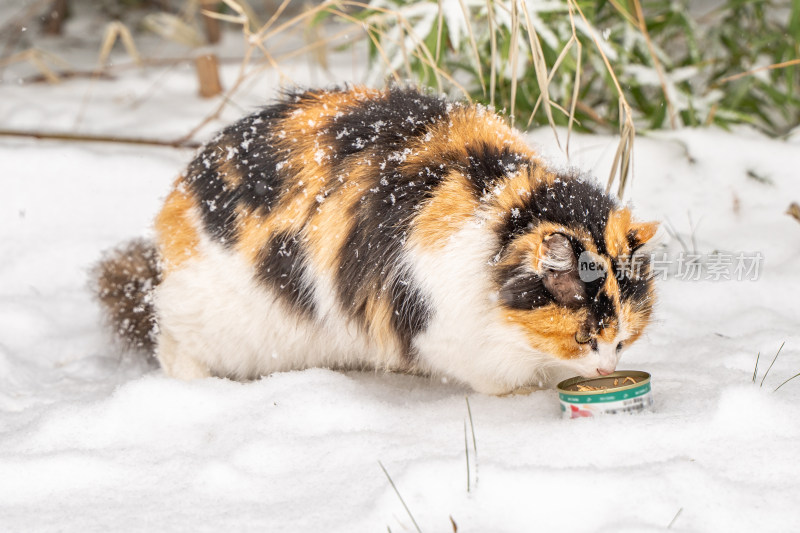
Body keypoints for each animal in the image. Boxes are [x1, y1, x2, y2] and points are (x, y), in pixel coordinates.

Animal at [94, 84, 656, 394]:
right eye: (583, 336)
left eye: (625, 336)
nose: (607, 367)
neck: (507, 213)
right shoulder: (441, 325)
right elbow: (497, 376)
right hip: (215, 321)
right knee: (172, 343)